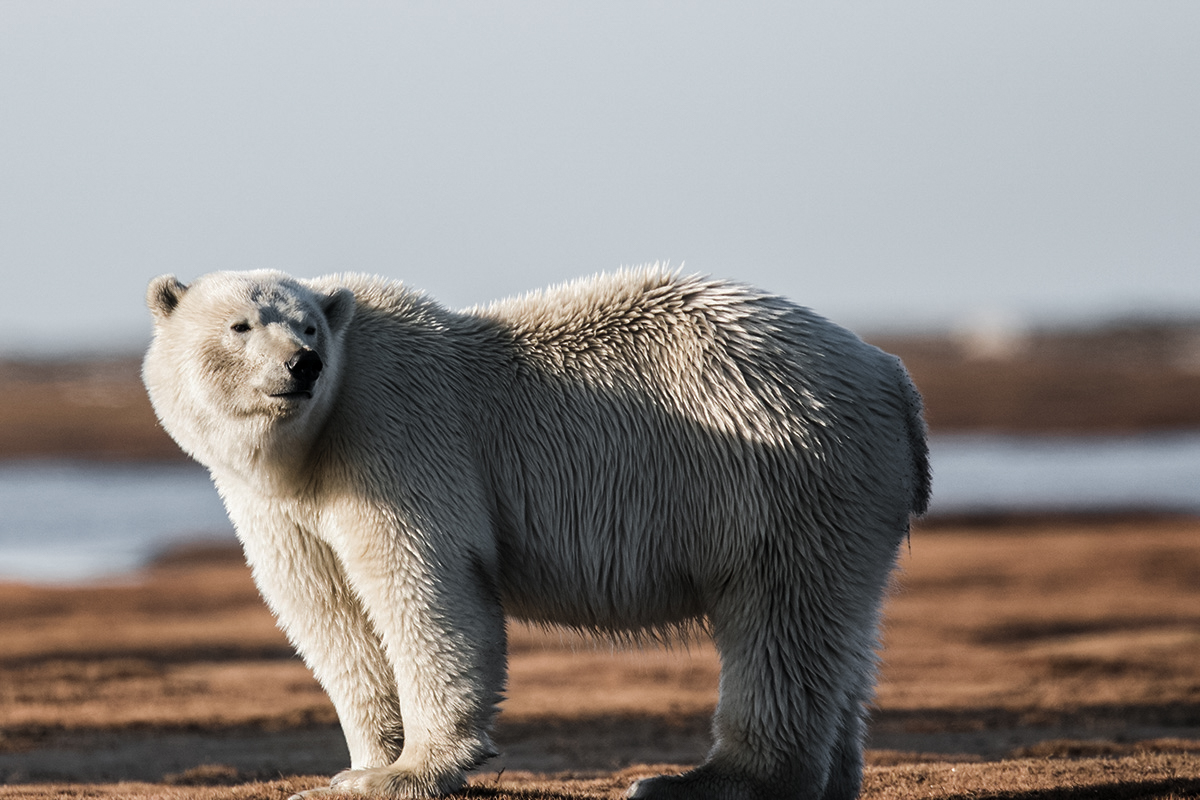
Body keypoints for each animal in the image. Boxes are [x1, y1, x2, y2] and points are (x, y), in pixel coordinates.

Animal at [140, 268, 926, 800]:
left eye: (306, 325)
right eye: (242, 326)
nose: (303, 365)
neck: (310, 441)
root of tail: (894, 377)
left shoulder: (392, 434)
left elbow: (424, 586)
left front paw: (409, 771)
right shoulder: (282, 505)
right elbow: (329, 615)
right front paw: (363, 764)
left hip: (782, 471)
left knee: (777, 620)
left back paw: (696, 781)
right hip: (841, 496)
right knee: (838, 631)